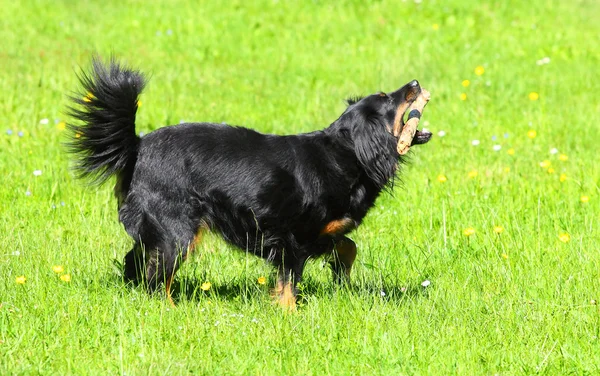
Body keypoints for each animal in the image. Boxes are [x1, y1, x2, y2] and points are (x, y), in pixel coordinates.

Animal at [67, 56, 432, 308]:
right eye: (387, 98)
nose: (416, 82)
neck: (345, 154)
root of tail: (138, 146)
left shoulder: (317, 234)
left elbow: (347, 245)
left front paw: (341, 278)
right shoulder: (290, 238)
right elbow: (289, 283)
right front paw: (290, 315)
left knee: (138, 261)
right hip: (177, 231)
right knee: (158, 276)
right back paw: (169, 309)